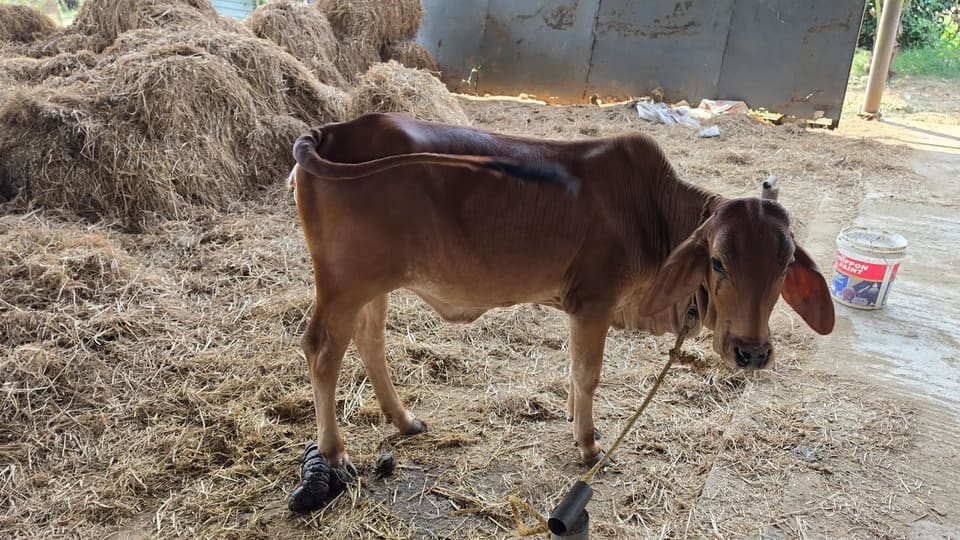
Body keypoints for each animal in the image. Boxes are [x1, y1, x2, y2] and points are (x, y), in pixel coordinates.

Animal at [286, 112, 835, 512]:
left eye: (785, 266)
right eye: (718, 261)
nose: (751, 352)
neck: (651, 211)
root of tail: (330, 130)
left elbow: (574, 375)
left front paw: (574, 418)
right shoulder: (593, 303)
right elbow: (588, 374)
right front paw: (589, 445)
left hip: (374, 285)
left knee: (370, 340)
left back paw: (403, 420)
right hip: (343, 285)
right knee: (322, 351)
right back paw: (334, 452)